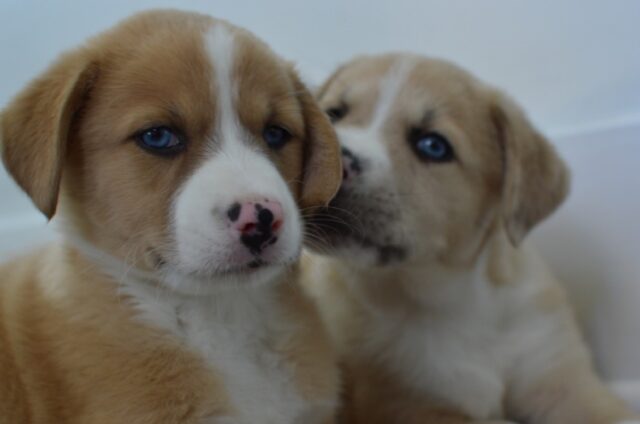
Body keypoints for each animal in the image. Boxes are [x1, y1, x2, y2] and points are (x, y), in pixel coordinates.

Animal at [302, 53, 636, 424]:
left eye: (433, 145)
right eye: (332, 115)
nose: (337, 165)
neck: (456, 299)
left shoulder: (565, 379)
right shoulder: (409, 403)